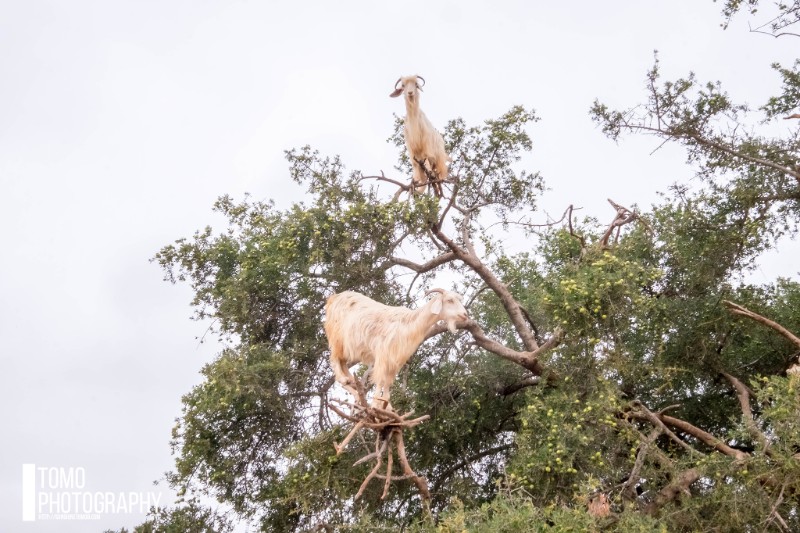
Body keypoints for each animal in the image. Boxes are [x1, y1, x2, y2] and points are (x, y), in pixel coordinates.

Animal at [322, 286, 466, 408]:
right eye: (449, 300)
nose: (464, 315)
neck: (408, 322)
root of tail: (333, 298)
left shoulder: (395, 361)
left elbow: (387, 385)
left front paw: (387, 406)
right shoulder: (383, 355)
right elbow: (380, 381)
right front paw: (376, 405)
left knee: (342, 364)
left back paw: (354, 386)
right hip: (337, 339)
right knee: (335, 363)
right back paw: (346, 381)